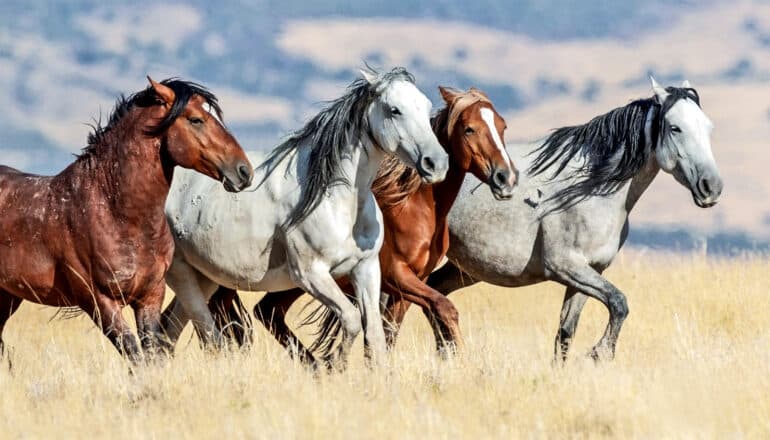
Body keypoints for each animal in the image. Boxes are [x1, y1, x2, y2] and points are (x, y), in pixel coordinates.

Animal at [0, 77, 252, 362]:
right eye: (196, 119)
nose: (244, 171)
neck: (115, 213)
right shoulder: (100, 302)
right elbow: (135, 355)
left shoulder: (150, 296)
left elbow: (151, 354)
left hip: (6, 297)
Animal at [159, 65, 448, 366]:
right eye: (395, 110)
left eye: (426, 106)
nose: (436, 163)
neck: (338, 201)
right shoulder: (311, 274)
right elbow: (351, 319)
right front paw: (334, 365)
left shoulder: (366, 269)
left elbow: (375, 335)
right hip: (182, 274)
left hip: (205, 277)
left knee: (168, 330)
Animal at [190, 86, 520, 364]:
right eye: (469, 128)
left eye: (502, 126)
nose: (506, 178)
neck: (414, 207)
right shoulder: (397, 276)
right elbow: (444, 308)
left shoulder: (409, 283)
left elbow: (390, 331)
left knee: (266, 312)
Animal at [388, 77, 724, 362]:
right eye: (675, 128)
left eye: (708, 127)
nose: (712, 187)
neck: (591, 188)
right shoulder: (565, 266)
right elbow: (619, 303)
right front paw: (600, 352)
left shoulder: (589, 272)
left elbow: (565, 333)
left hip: (466, 269)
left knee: (434, 296)